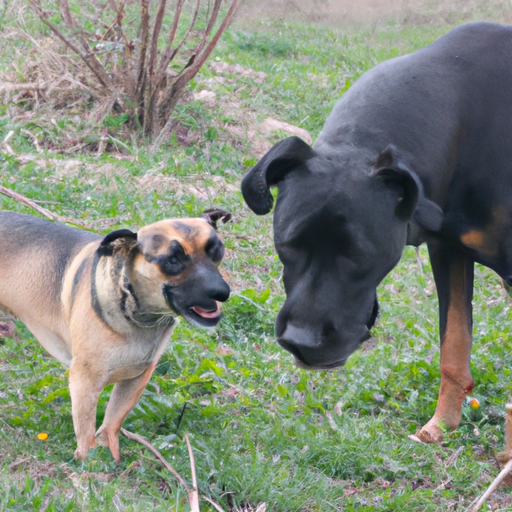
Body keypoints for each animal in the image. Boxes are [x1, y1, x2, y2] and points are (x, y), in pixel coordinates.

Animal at [0, 210, 230, 462]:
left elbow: (111, 425)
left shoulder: (136, 379)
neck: (137, 315)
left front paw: (112, 459)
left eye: (217, 250)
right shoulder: (84, 382)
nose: (222, 292)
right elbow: (86, 436)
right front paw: (89, 464)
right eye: (172, 260)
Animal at [242, 21, 512, 444]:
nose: (302, 342)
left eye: (359, 255)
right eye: (286, 245)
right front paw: (442, 426)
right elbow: (453, 344)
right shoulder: (448, 251)